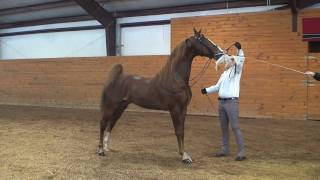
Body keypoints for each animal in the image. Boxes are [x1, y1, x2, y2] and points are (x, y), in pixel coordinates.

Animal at [96, 28, 224, 165]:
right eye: (201, 39)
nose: (220, 53)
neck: (176, 79)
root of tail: (116, 78)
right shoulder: (174, 109)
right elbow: (178, 131)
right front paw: (184, 156)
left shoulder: (183, 109)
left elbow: (182, 131)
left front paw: (185, 154)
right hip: (110, 106)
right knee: (103, 123)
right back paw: (101, 150)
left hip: (120, 107)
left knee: (111, 123)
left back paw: (106, 147)